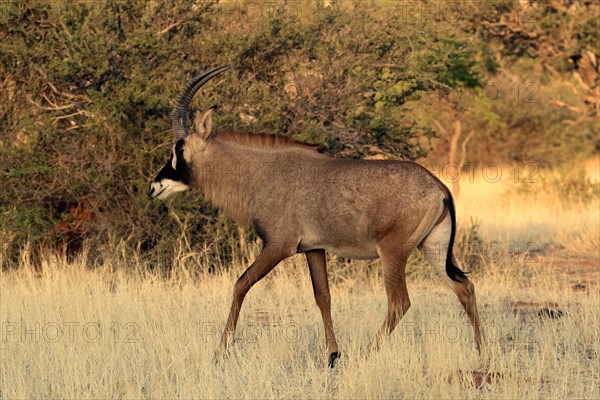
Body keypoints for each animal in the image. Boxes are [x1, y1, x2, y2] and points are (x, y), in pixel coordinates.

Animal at [149, 66, 482, 368]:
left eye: (179, 149)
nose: (154, 187)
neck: (261, 172)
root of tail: (439, 188)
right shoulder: (313, 249)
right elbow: (323, 296)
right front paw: (332, 355)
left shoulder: (278, 247)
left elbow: (240, 284)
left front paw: (220, 353)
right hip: (433, 248)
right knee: (464, 288)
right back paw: (482, 353)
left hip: (394, 253)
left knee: (400, 303)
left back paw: (366, 355)